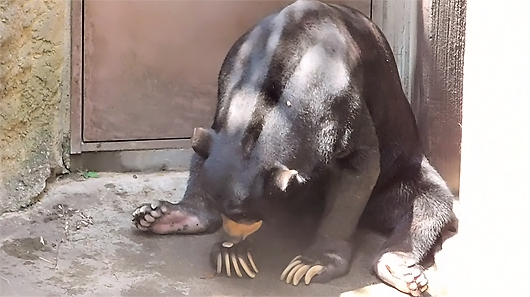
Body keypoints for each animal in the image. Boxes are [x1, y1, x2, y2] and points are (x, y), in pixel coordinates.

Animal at [130, 1, 452, 294]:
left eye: (245, 213)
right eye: (229, 211)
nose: (231, 240)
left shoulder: (346, 105)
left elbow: (360, 165)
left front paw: (310, 265)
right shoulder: (228, 82)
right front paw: (233, 256)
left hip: (399, 175)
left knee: (428, 204)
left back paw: (399, 268)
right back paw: (159, 215)